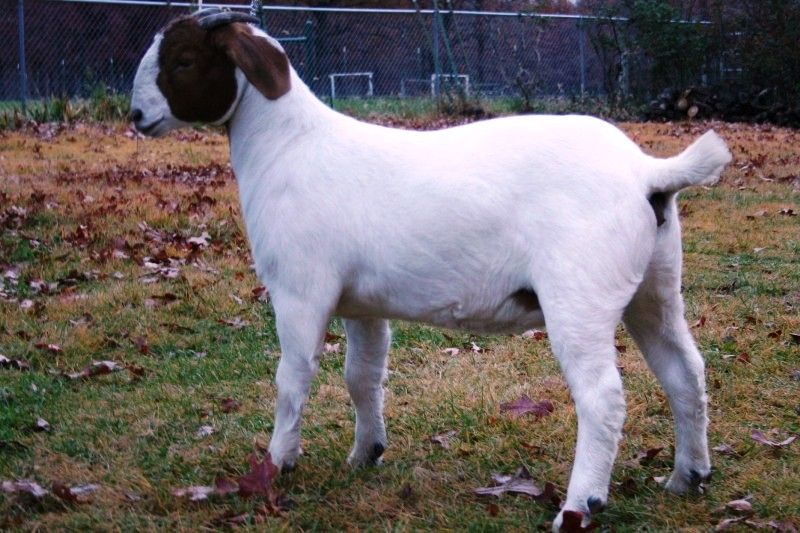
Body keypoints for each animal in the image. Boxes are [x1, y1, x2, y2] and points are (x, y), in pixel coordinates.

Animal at [130, 9, 732, 530]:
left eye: (183, 60)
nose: (136, 117)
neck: (289, 146)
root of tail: (647, 172)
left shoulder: (300, 291)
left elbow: (291, 380)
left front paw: (277, 466)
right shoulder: (362, 304)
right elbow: (362, 376)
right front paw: (365, 453)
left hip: (580, 295)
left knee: (602, 397)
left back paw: (579, 506)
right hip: (654, 288)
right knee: (685, 371)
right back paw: (688, 476)